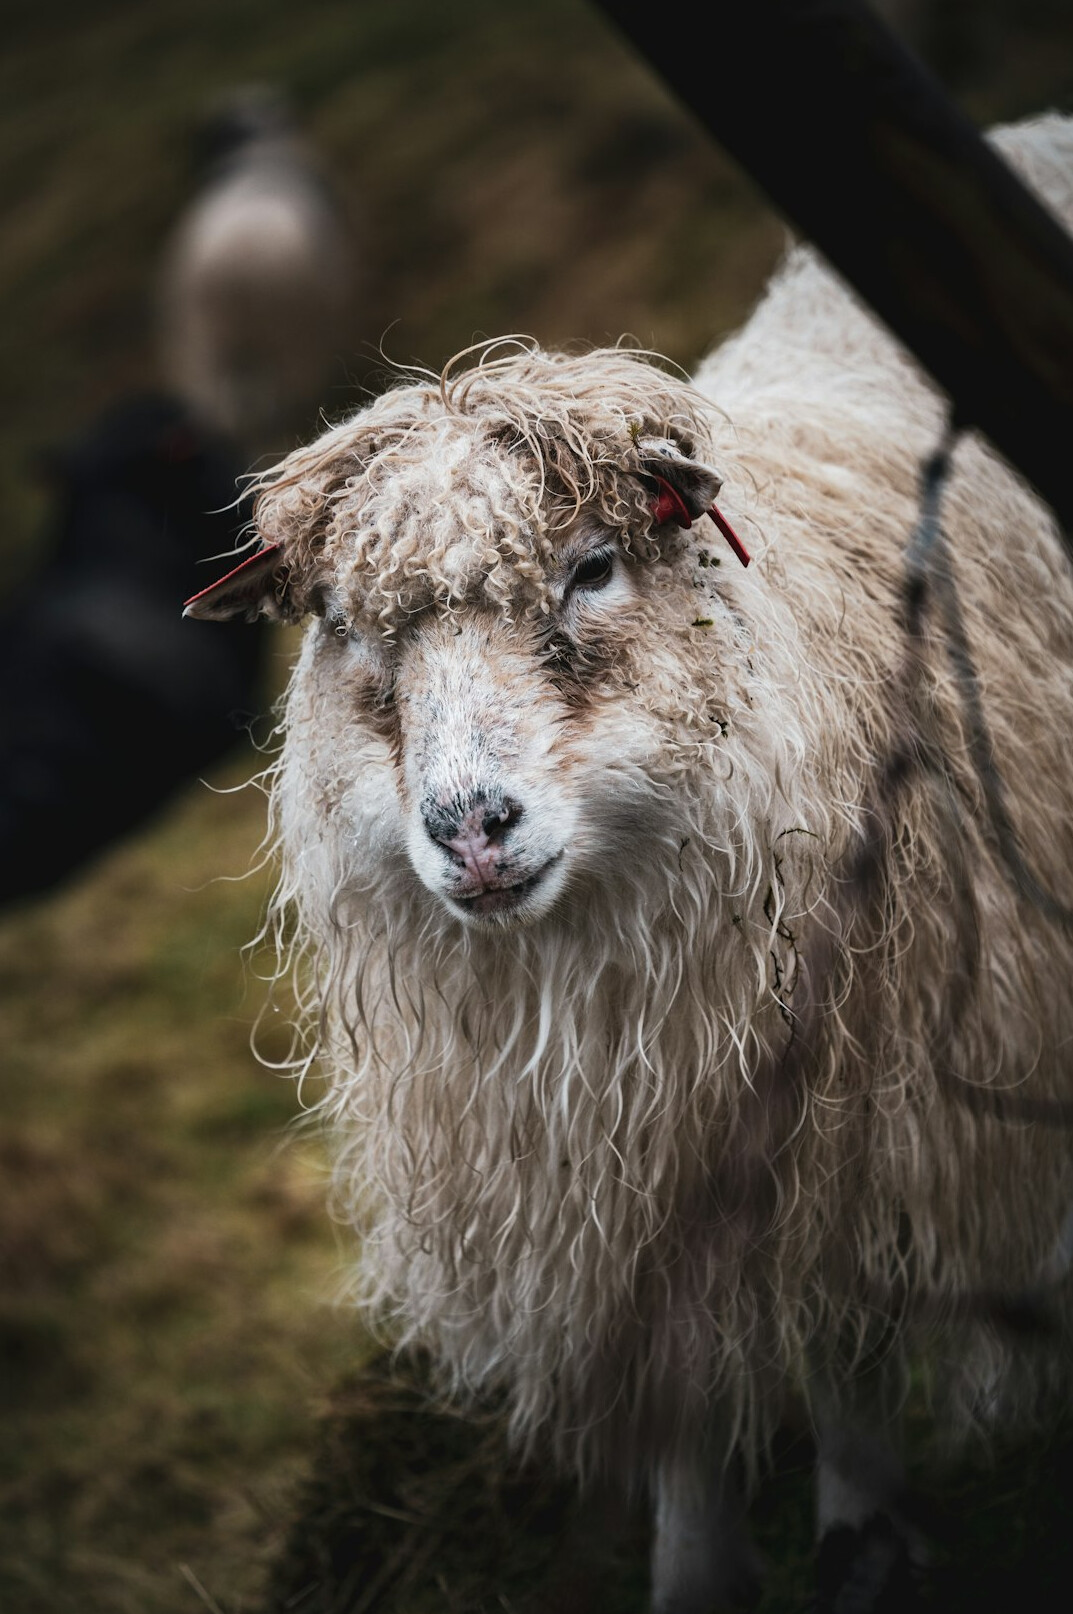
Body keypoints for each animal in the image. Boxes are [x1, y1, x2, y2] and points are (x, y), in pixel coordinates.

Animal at [187, 112, 1073, 1609]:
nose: (469, 825)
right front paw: (698, 1568)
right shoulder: (615, 1195)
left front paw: (862, 1525)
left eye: (594, 566)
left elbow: (841, 1345)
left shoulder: (856, 1128)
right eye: (343, 624)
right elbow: (678, 1408)